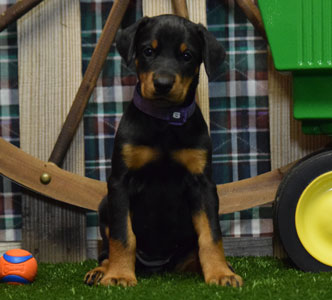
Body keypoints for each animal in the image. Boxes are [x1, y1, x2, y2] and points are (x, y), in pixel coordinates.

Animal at [84, 14, 243, 288]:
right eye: (148, 51)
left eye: (187, 55)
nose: (163, 84)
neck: (165, 121)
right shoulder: (120, 182)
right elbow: (122, 235)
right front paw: (119, 275)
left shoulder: (202, 184)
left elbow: (211, 235)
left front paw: (221, 273)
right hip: (105, 204)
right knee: (106, 249)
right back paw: (101, 271)